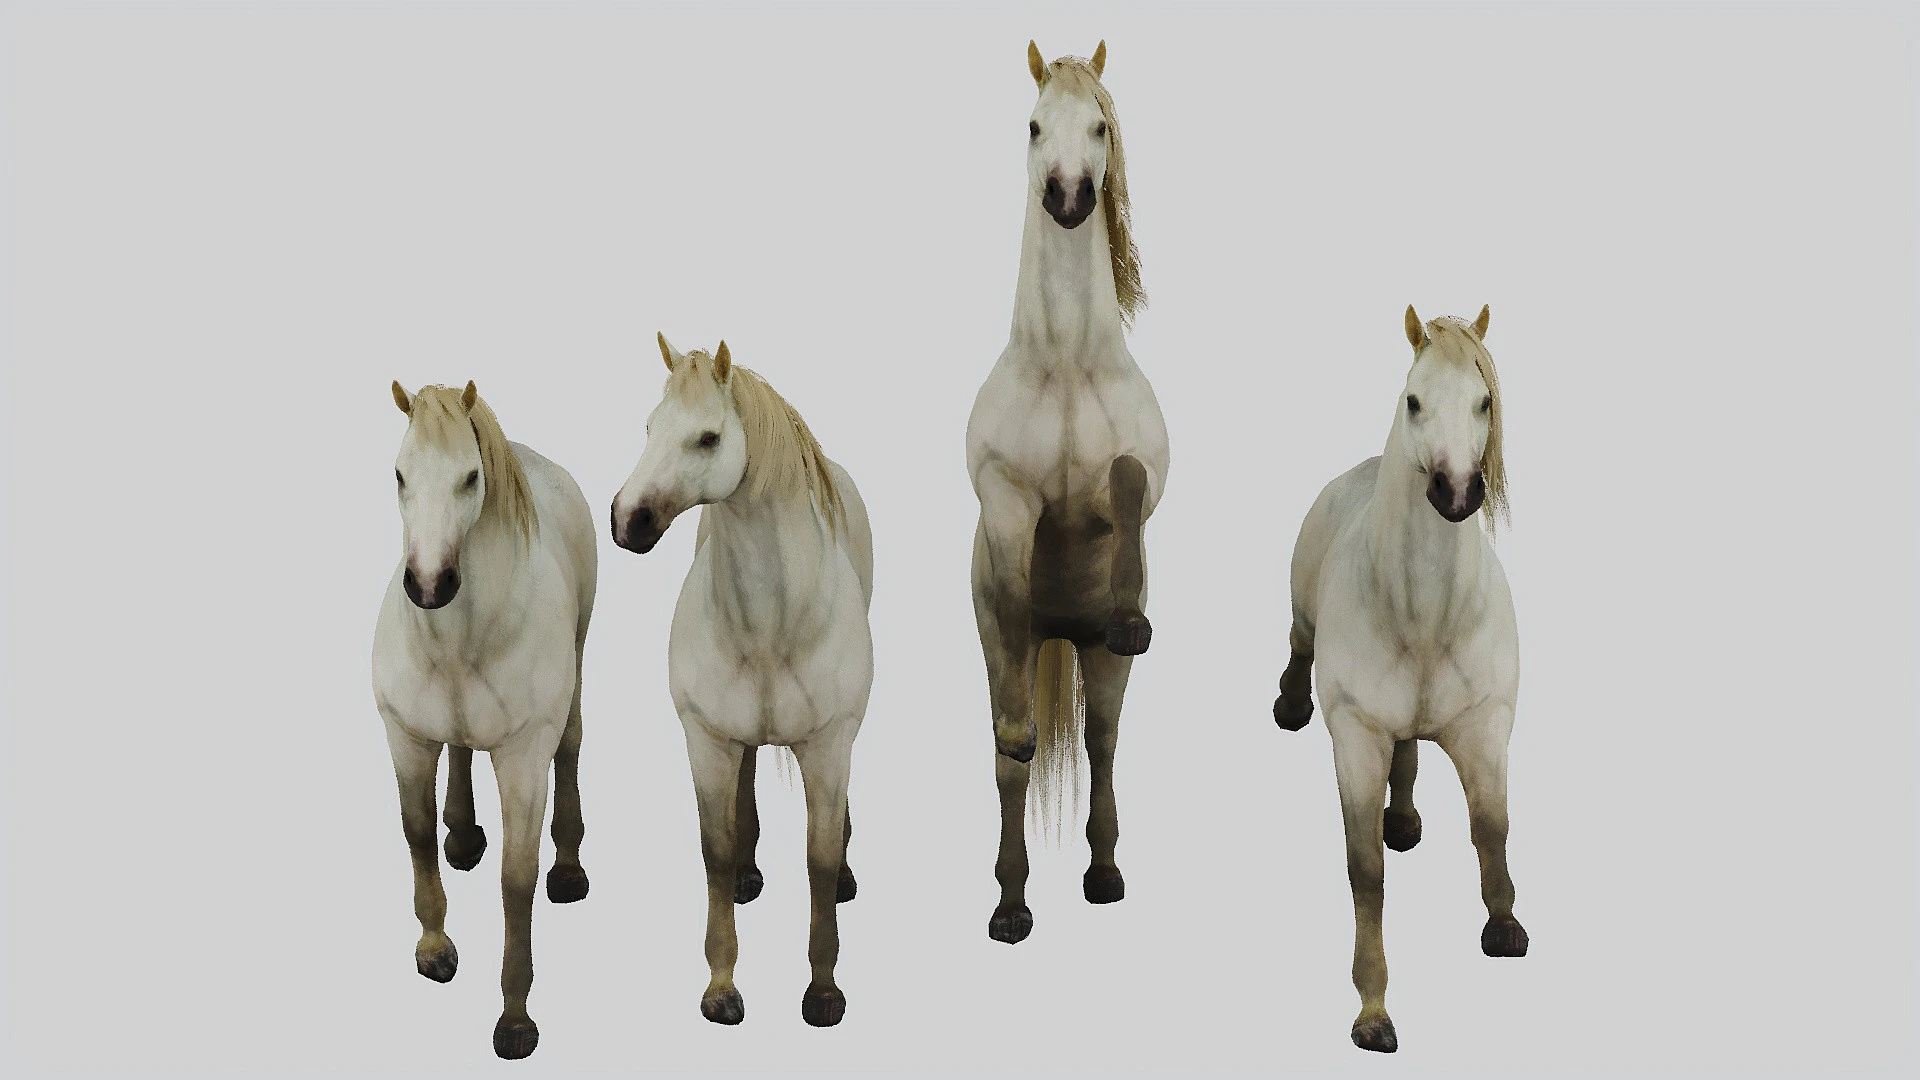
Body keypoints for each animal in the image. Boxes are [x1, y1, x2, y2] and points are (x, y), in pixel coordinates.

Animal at [370, 381, 597, 1059]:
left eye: (471, 477)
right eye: (399, 474)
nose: (429, 584)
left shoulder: (523, 760)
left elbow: (515, 881)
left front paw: (515, 1019)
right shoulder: (406, 738)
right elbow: (417, 834)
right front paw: (434, 948)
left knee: (571, 749)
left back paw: (568, 870)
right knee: (462, 750)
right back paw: (465, 834)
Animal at [611, 335, 873, 1028]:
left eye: (707, 438)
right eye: (649, 426)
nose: (627, 520)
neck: (772, 629)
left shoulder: (827, 747)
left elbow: (817, 860)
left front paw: (823, 991)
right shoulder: (707, 741)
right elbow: (716, 852)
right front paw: (722, 987)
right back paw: (751, 876)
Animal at [1272, 306, 1527, 1053]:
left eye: (1484, 401)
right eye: (1414, 401)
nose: (1456, 492)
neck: (1425, 619)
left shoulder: (1486, 729)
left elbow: (1491, 829)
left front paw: (1504, 926)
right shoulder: (1357, 739)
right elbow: (1366, 873)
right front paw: (1373, 1009)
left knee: (1410, 751)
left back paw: (1406, 818)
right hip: (1303, 619)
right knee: (1297, 645)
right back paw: (1288, 704)